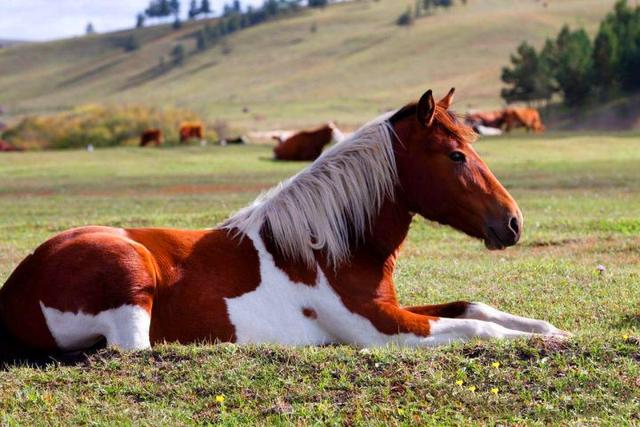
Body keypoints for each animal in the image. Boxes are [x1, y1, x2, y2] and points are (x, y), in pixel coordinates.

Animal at [0, 89, 568, 362]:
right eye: (455, 155)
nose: (513, 222)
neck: (329, 246)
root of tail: (17, 284)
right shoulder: (381, 329)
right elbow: (477, 327)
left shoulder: (392, 309)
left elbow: (475, 307)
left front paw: (551, 331)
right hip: (129, 273)